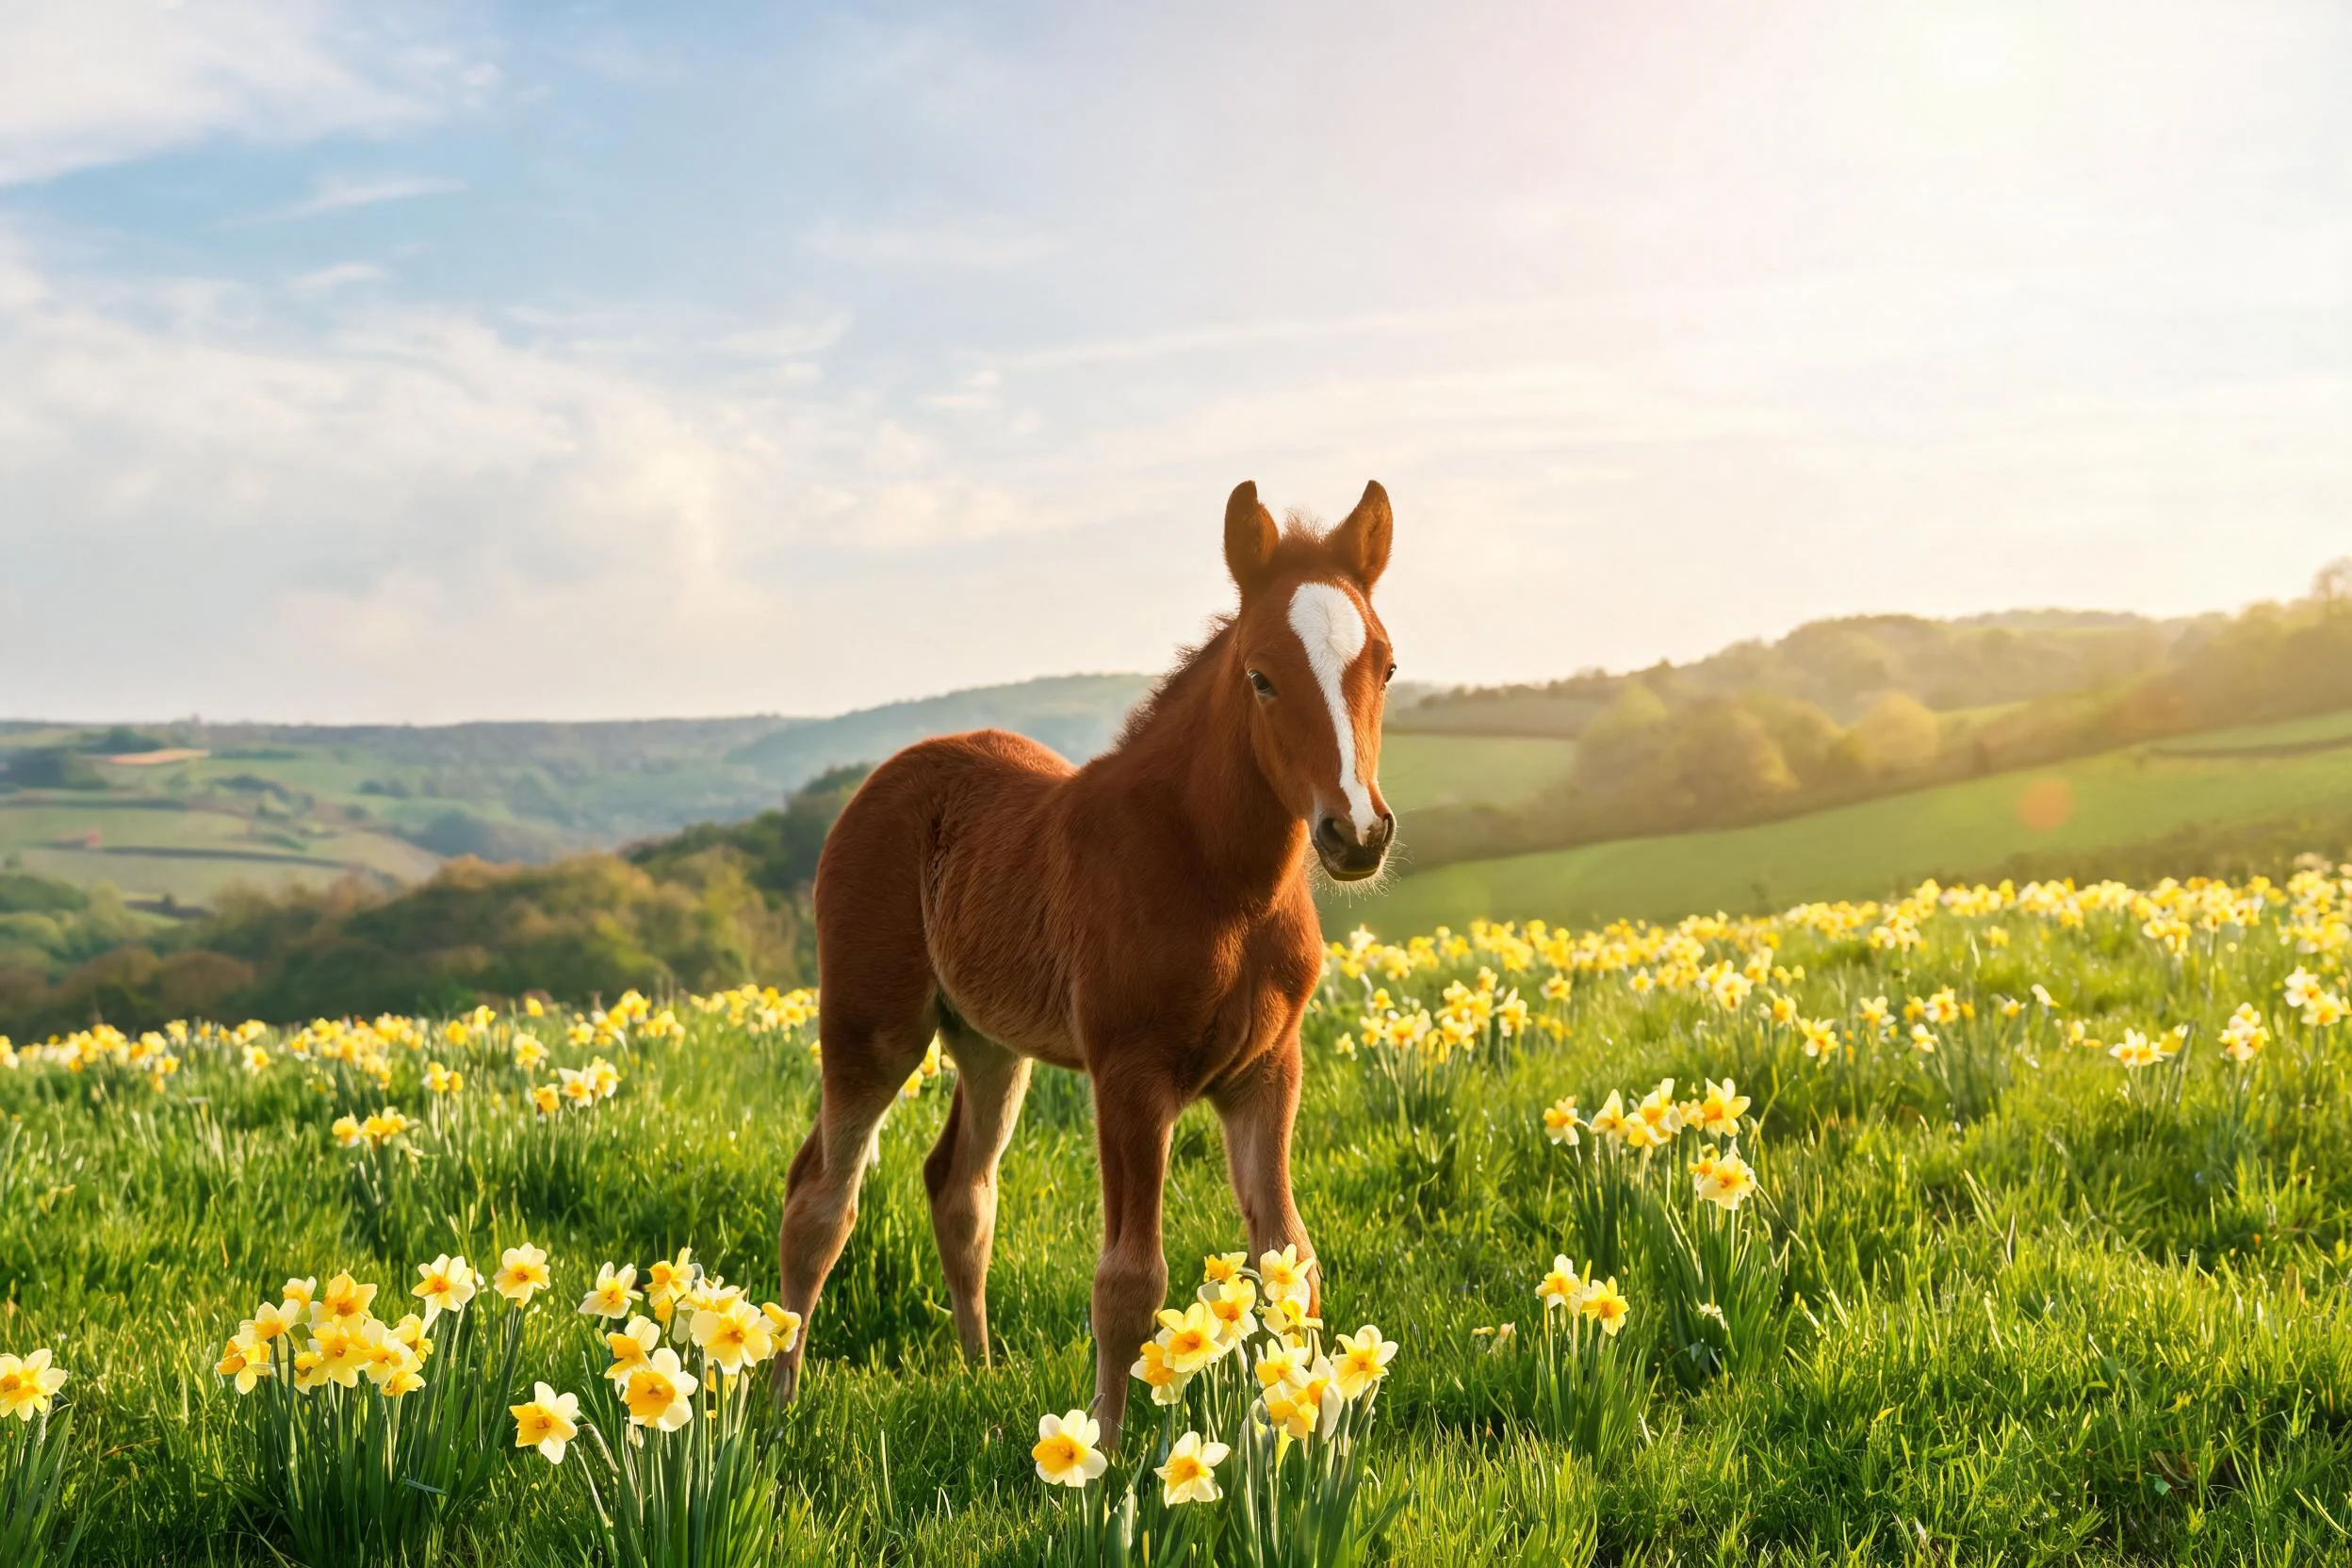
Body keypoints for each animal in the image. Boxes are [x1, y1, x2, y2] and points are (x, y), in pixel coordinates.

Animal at [772, 479, 1399, 1446]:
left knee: (960, 1188)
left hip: (991, 1044)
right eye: (1261, 676)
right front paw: (1102, 1452)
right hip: (873, 1027)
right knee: (821, 1199)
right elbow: (1129, 1281)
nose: (1356, 833)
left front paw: (1309, 1436)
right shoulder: (1130, 1075)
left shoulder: (1268, 1070)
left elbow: (1290, 1256)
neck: (1219, 882)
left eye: (1388, 667)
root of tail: (890, 775)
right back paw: (773, 1408)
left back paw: (979, 1370)